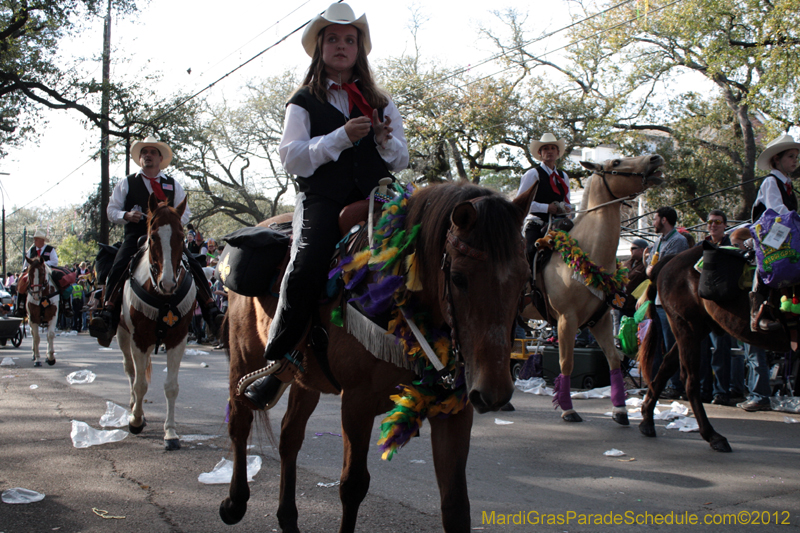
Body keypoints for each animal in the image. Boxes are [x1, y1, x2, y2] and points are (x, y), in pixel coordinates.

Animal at [115, 195, 195, 448]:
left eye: (181, 236)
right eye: (152, 237)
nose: (168, 284)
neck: (163, 298)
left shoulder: (177, 338)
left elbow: (171, 387)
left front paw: (170, 432)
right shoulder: (138, 339)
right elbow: (140, 383)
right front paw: (136, 421)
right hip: (124, 335)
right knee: (131, 371)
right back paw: (133, 407)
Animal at [219, 181, 536, 528]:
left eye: (524, 279)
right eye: (458, 278)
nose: (494, 393)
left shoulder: (454, 409)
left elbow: (455, 504)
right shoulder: (357, 402)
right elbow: (353, 485)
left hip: (306, 379)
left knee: (290, 436)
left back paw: (288, 517)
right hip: (244, 356)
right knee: (240, 422)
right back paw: (235, 502)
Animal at [520, 155, 664, 424]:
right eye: (616, 161)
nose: (655, 159)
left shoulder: (601, 320)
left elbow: (614, 359)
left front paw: (620, 410)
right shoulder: (566, 319)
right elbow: (566, 363)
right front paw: (568, 408)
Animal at [636, 247, 788, 450]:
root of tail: (672, 260)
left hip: (694, 329)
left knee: (667, 365)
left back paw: (647, 419)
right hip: (687, 326)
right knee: (689, 379)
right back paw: (713, 435)